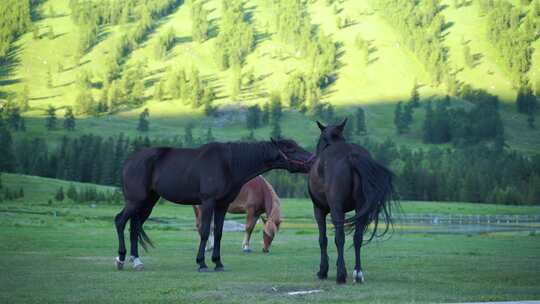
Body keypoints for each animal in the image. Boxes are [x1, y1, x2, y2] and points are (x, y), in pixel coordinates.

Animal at [113, 138, 312, 270]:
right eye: (291, 149)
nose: (312, 160)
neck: (229, 164)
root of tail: (129, 162)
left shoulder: (222, 206)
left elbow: (218, 233)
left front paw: (218, 262)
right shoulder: (209, 203)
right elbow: (205, 231)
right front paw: (201, 262)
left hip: (148, 203)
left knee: (134, 227)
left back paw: (136, 260)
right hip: (135, 201)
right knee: (120, 221)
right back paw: (121, 259)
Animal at [310, 119, 394, 284]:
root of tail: (351, 156)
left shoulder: (319, 210)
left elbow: (323, 239)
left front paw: (323, 270)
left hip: (336, 209)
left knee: (340, 238)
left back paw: (341, 275)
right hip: (361, 209)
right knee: (357, 238)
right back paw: (358, 273)